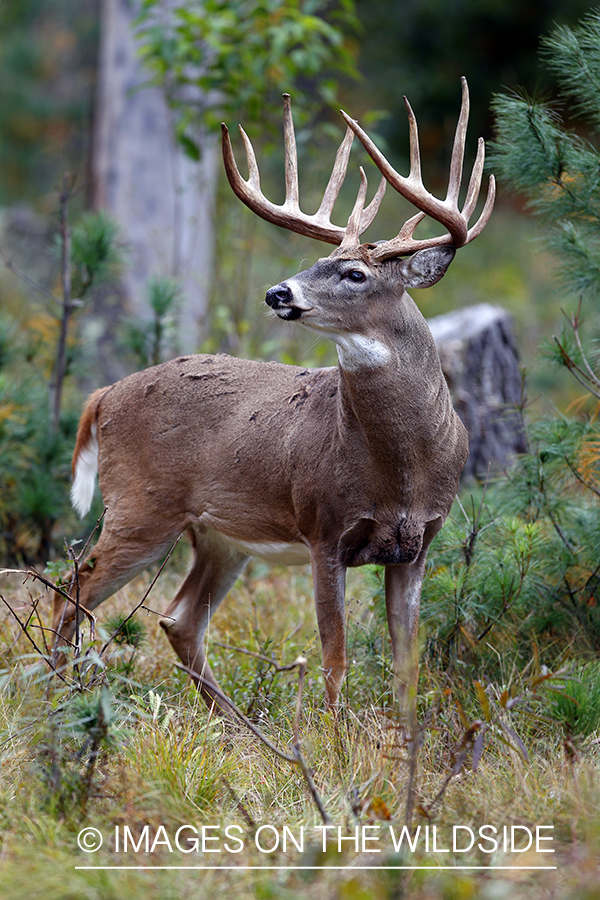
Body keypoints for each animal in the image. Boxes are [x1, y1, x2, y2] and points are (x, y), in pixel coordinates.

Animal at [54, 81, 494, 720]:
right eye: (317, 261)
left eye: (355, 273)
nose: (277, 291)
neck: (402, 466)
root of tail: (104, 394)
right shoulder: (324, 527)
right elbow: (335, 660)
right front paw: (334, 738)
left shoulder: (418, 543)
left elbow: (407, 668)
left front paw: (403, 740)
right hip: (139, 506)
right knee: (72, 593)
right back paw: (58, 698)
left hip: (219, 535)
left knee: (178, 618)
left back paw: (233, 721)